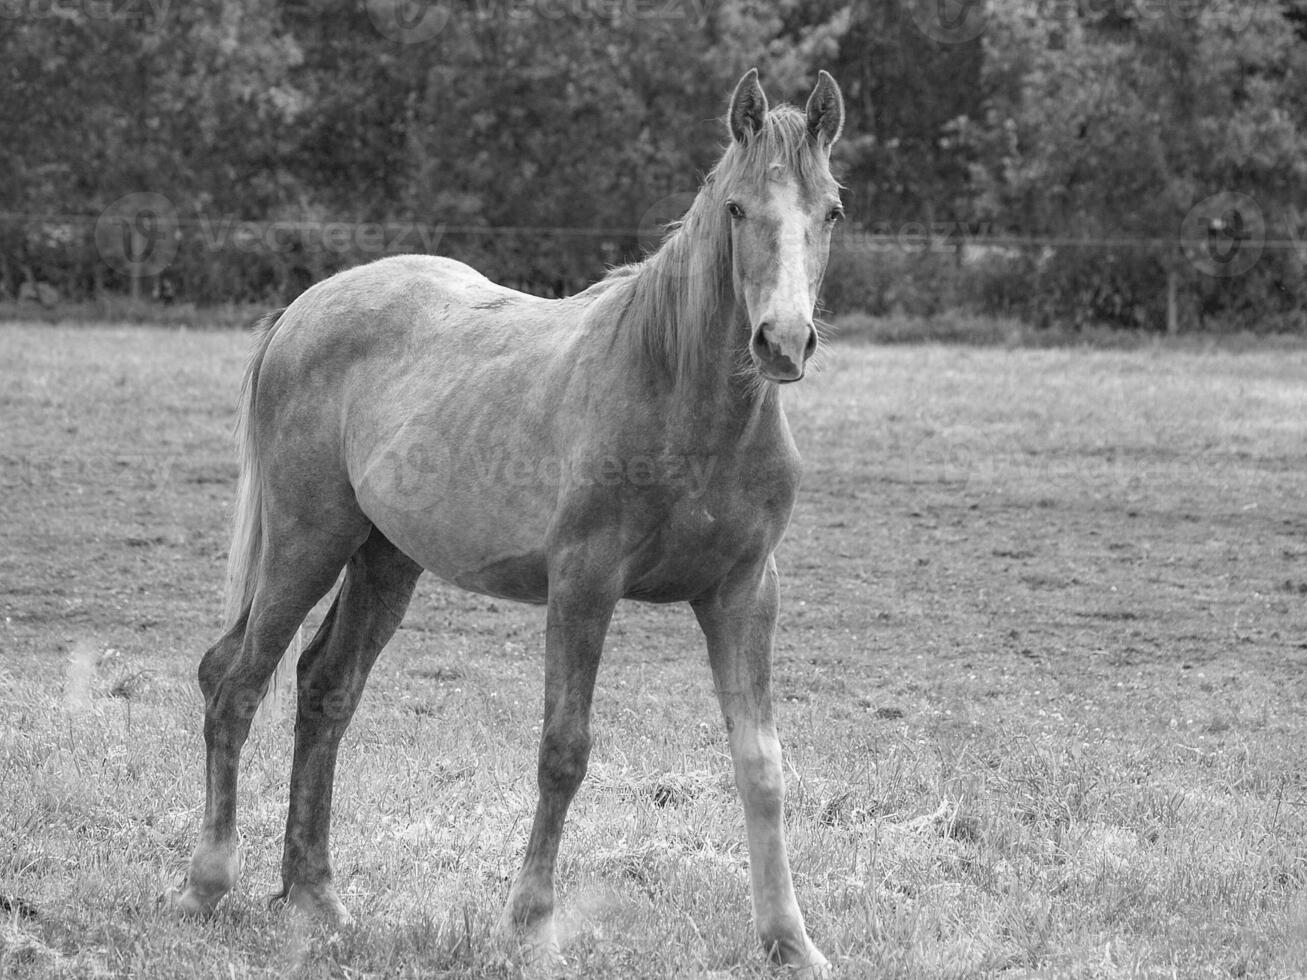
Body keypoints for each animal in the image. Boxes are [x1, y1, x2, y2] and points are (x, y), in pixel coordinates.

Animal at [168, 65, 846, 977]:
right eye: (738, 208)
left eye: (830, 210)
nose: (782, 341)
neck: (681, 401)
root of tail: (307, 306)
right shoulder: (583, 584)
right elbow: (563, 752)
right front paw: (529, 925)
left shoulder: (742, 593)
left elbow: (760, 764)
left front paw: (789, 941)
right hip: (307, 542)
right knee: (235, 682)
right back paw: (208, 886)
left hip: (384, 559)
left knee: (323, 690)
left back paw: (315, 900)